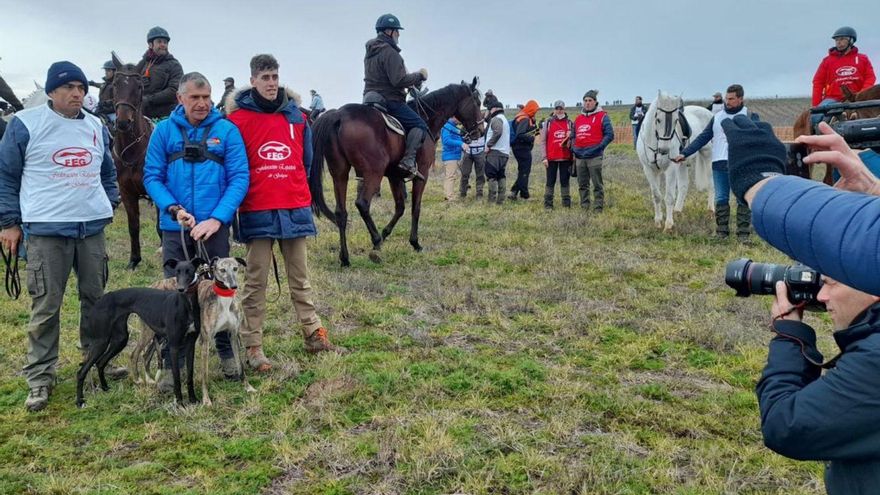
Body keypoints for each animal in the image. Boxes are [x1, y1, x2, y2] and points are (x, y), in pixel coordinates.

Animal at [75, 260, 201, 406]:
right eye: (177, 272)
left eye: (189, 271)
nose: (181, 289)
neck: (186, 304)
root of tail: (100, 300)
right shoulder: (174, 346)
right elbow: (176, 378)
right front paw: (180, 403)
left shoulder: (191, 344)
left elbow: (190, 375)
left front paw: (193, 399)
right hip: (101, 341)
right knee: (82, 371)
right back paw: (80, 401)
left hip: (120, 339)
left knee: (100, 363)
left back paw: (105, 388)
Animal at [310, 76, 484, 268]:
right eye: (477, 102)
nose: (480, 131)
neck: (426, 120)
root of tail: (339, 114)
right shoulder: (422, 174)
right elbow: (416, 208)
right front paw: (414, 243)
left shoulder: (394, 176)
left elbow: (400, 207)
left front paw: (386, 233)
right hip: (373, 172)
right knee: (362, 204)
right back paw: (376, 240)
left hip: (340, 173)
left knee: (341, 213)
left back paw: (345, 258)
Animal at [640, 90, 716, 231]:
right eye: (658, 119)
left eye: (676, 120)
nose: (664, 150)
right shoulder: (649, 169)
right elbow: (656, 195)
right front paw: (658, 221)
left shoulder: (671, 168)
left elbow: (669, 196)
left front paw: (668, 225)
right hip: (682, 164)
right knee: (684, 186)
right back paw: (677, 211)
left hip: (707, 154)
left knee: (711, 182)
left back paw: (710, 211)